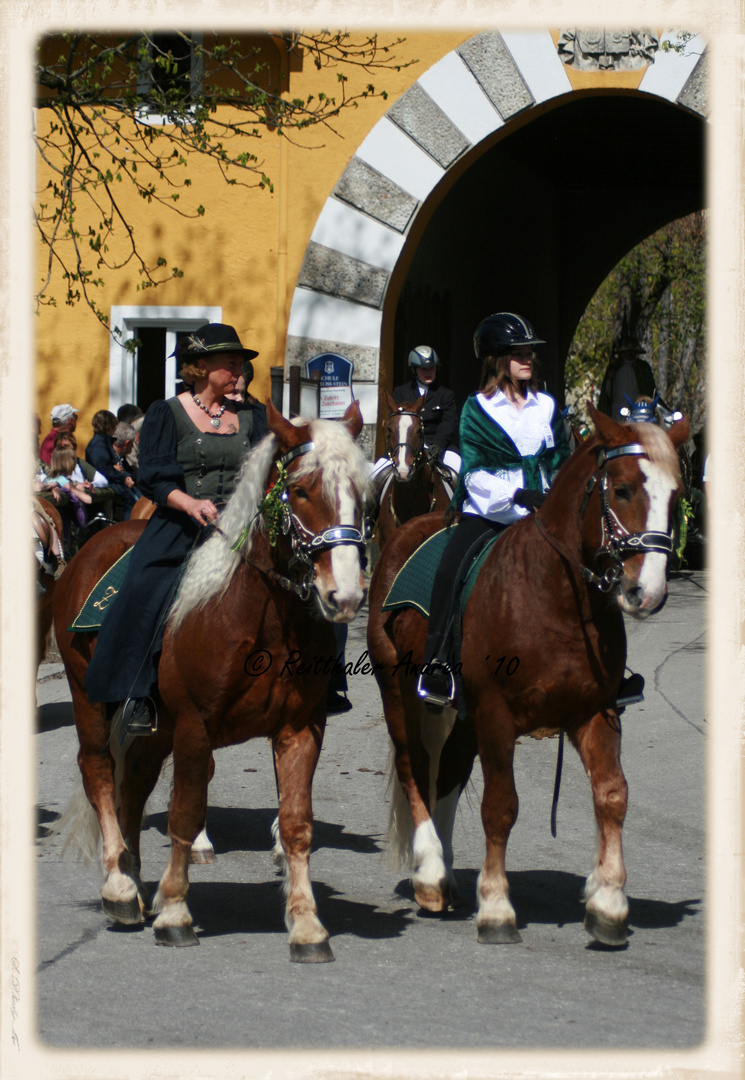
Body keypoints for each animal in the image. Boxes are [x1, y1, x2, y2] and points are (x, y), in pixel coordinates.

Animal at [55, 403, 371, 963]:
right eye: (302, 490)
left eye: (360, 490)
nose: (346, 595)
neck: (262, 615)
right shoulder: (195, 727)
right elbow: (185, 814)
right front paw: (177, 914)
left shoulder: (300, 729)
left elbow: (297, 823)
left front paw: (307, 925)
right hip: (89, 699)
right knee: (99, 774)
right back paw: (119, 885)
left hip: (152, 728)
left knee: (134, 782)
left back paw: (137, 879)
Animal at [364, 403, 686, 946]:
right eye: (622, 489)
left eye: (677, 493)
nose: (647, 592)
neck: (554, 596)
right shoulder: (496, 714)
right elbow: (501, 806)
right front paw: (496, 908)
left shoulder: (594, 712)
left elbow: (613, 795)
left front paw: (609, 903)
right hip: (399, 692)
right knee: (415, 768)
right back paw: (429, 873)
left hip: (462, 716)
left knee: (448, 772)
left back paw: (446, 875)